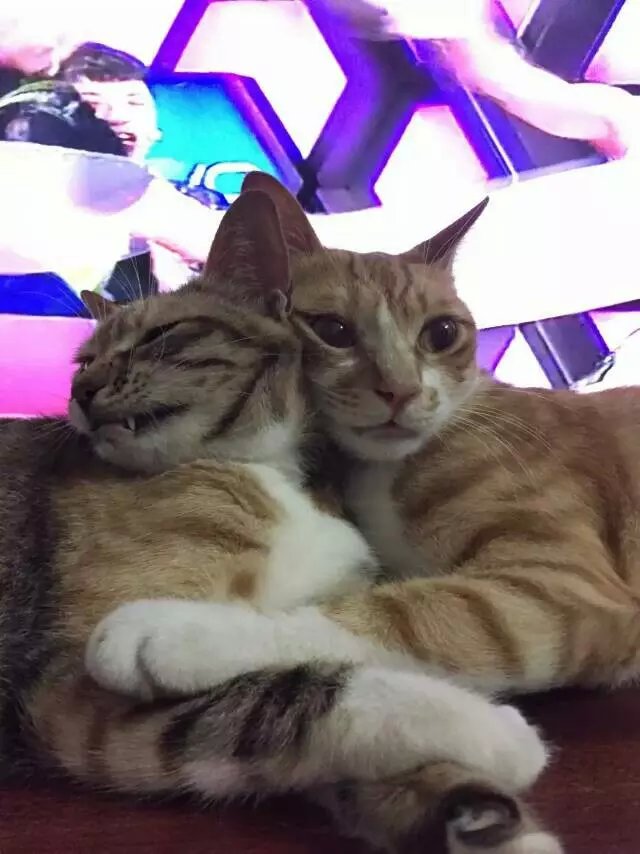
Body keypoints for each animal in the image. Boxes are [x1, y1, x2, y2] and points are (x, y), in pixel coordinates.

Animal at [0, 189, 550, 853]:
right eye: (82, 360)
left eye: (160, 335)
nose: (81, 388)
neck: (265, 469)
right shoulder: (71, 693)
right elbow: (291, 696)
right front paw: (495, 730)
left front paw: (481, 816)